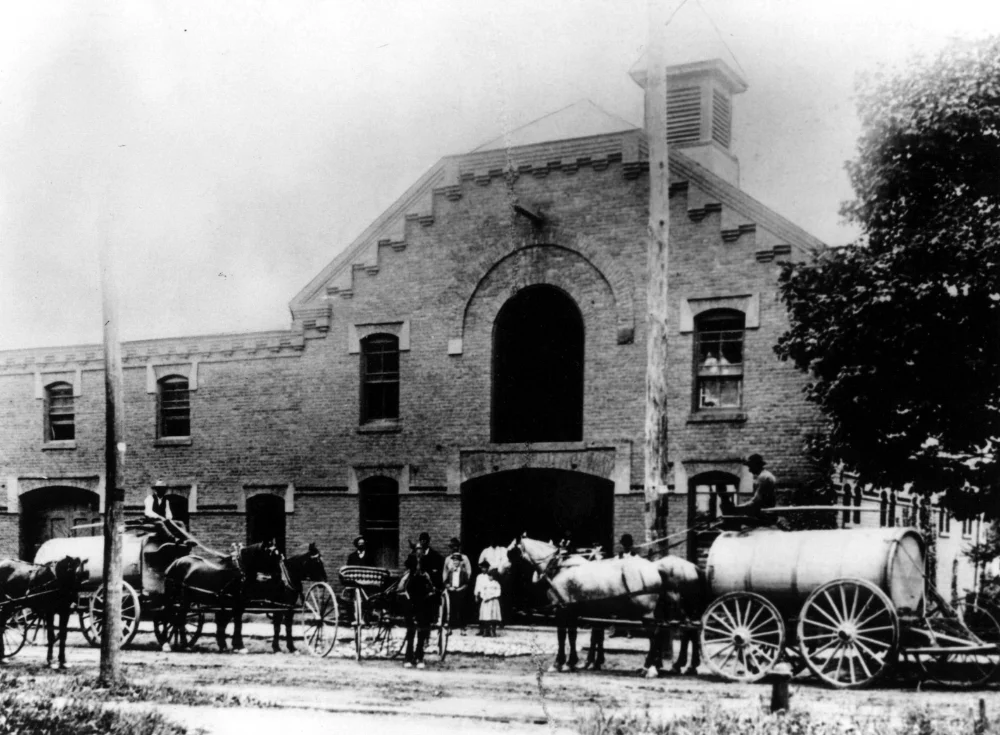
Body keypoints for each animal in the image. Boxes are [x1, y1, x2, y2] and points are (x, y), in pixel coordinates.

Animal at [512, 536, 708, 680]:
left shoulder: (562, 610)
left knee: (660, 634)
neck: (560, 568)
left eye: (512, 552)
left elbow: (564, 636)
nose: (498, 572)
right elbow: (574, 636)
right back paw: (675, 665)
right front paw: (574, 662)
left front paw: (560, 663)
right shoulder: (575, 612)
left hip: (649, 612)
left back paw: (653, 668)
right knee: (685, 633)